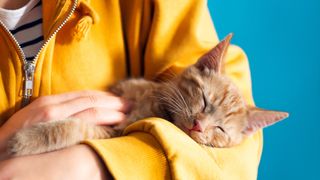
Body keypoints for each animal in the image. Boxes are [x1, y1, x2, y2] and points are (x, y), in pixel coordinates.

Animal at [7, 34, 288, 156]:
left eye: (220, 130)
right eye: (204, 100)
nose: (199, 126)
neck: (154, 102)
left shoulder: (115, 132)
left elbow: (75, 126)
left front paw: (24, 140)